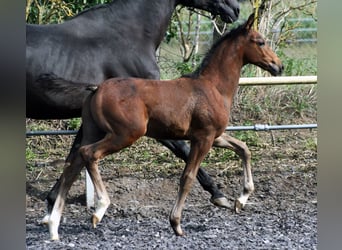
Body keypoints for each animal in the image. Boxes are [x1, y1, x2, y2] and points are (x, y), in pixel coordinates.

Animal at [27, 0, 240, 212]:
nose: (235, 9)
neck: (129, 37)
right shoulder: (154, 122)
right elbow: (184, 150)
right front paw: (218, 194)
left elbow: (75, 154)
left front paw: (53, 198)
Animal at [46, 13, 284, 240]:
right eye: (261, 42)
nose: (278, 66)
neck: (213, 87)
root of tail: (96, 89)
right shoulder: (203, 138)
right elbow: (188, 177)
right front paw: (176, 223)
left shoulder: (213, 136)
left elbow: (243, 148)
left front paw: (241, 199)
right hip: (125, 134)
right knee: (89, 154)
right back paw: (99, 208)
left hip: (94, 131)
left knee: (72, 165)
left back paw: (54, 226)